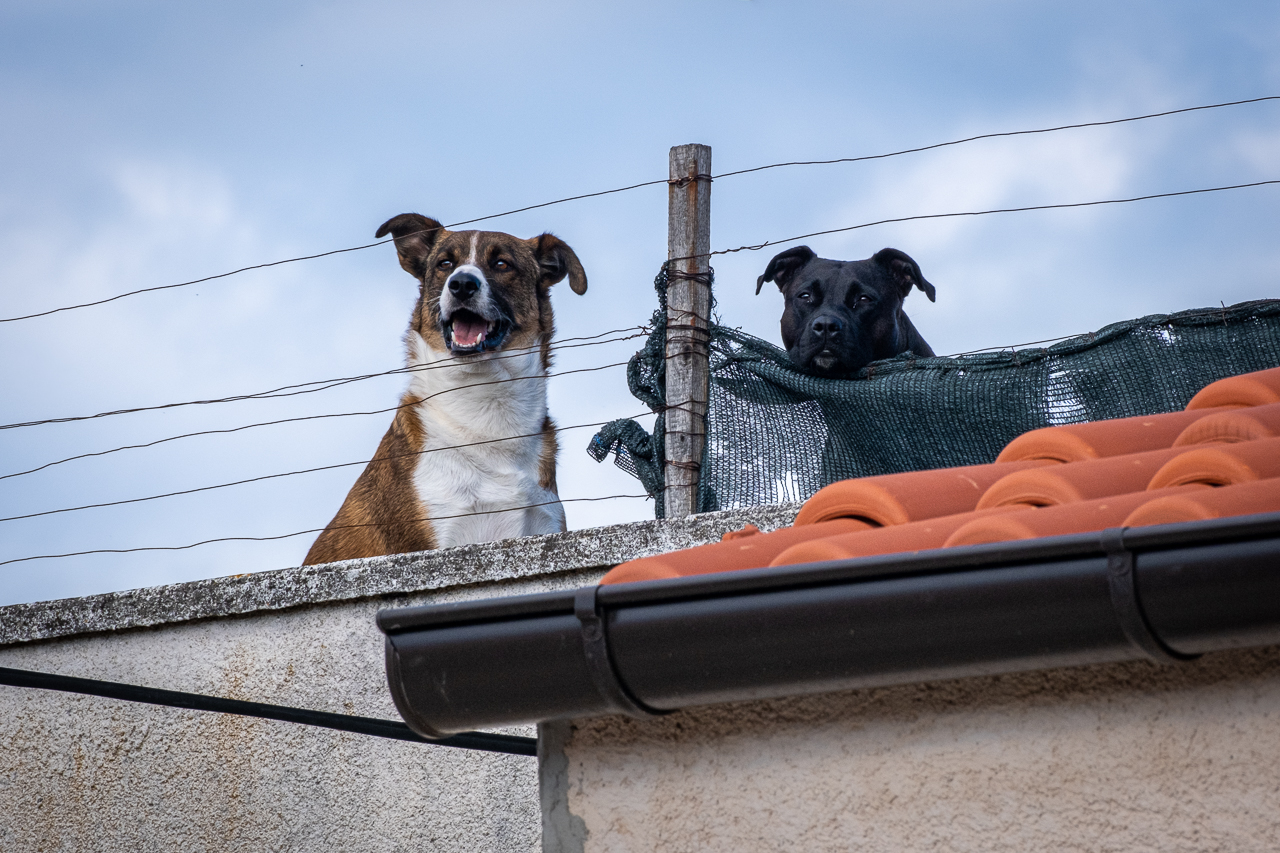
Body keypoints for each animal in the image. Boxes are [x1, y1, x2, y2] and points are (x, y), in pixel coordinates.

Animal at [304, 211, 588, 563]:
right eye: (444, 264)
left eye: (502, 264)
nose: (462, 284)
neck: (486, 403)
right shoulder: (439, 533)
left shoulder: (542, 524)